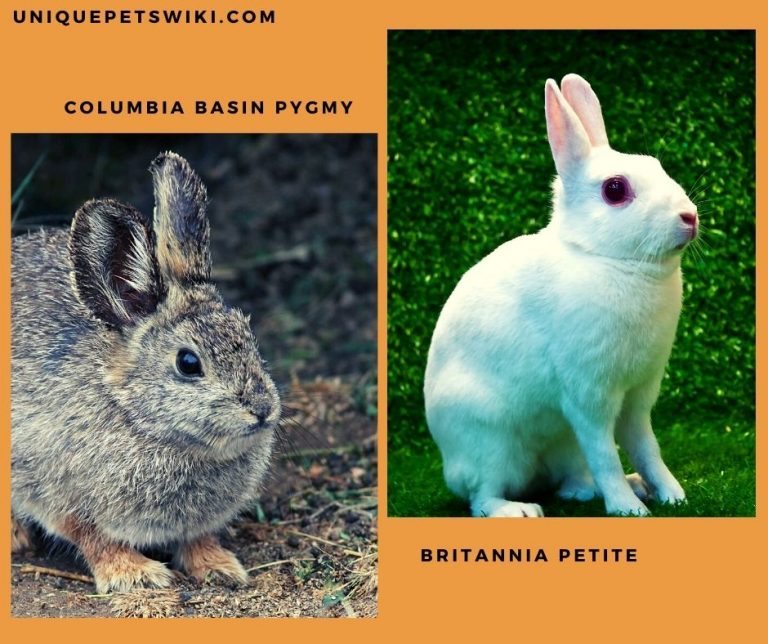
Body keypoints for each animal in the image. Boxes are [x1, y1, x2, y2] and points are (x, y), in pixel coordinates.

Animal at [11, 152, 281, 592]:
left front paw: (220, 566)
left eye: (248, 334)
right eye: (188, 363)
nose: (262, 409)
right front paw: (136, 575)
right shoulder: (59, 494)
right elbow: (95, 539)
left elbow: (196, 538)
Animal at [424, 74, 697, 518]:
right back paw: (519, 510)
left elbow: (646, 446)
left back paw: (612, 488)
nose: (689, 217)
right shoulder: (588, 395)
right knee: (481, 497)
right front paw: (628, 510)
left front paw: (670, 494)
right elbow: (606, 452)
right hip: (491, 444)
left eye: (657, 166)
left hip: (562, 446)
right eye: (615, 189)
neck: (605, 257)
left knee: (572, 479)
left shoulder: (638, 395)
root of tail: (452, 465)